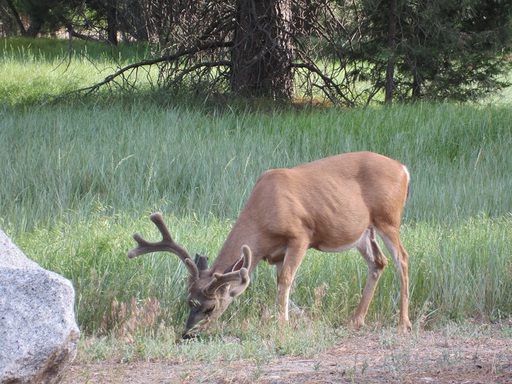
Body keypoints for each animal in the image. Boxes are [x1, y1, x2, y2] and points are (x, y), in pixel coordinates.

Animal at [128, 152, 412, 338]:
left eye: (210, 307)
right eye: (188, 301)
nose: (188, 333)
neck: (262, 218)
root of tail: (404, 169)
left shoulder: (300, 236)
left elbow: (286, 281)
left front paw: (282, 326)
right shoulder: (275, 253)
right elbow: (282, 284)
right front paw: (295, 319)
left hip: (388, 218)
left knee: (402, 259)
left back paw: (403, 324)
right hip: (364, 232)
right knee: (378, 262)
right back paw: (355, 320)